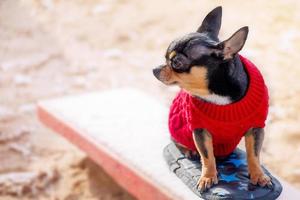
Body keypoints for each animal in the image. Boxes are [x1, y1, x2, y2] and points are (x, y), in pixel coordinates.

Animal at [152, 7, 272, 193]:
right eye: (165, 57)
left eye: (177, 63)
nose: (155, 69)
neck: (218, 93)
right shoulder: (200, 130)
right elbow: (207, 156)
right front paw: (208, 177)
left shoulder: (255, 128)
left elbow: (254, 154)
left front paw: (258, 175)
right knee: (176, 141)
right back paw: (188, 150)